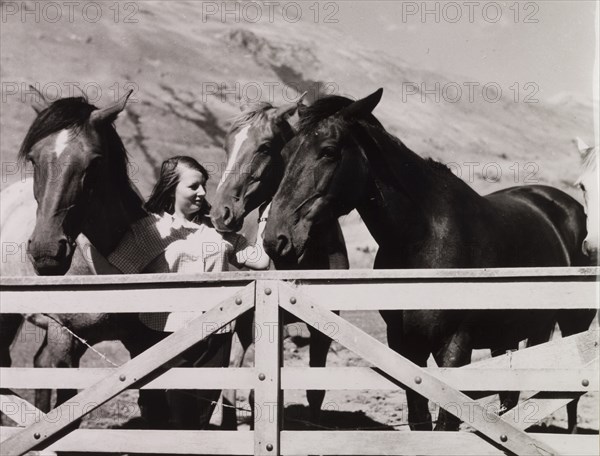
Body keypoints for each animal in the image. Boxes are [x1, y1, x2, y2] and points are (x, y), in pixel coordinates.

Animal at [262, 88, 596, 432]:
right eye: (285, 153)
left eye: (328, 151)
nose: (276, 238)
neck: (422, 239)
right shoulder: (405, 347)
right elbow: (419, 420)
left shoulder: (455, 347)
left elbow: (445, 425)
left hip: (567, 325)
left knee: (570, 395)